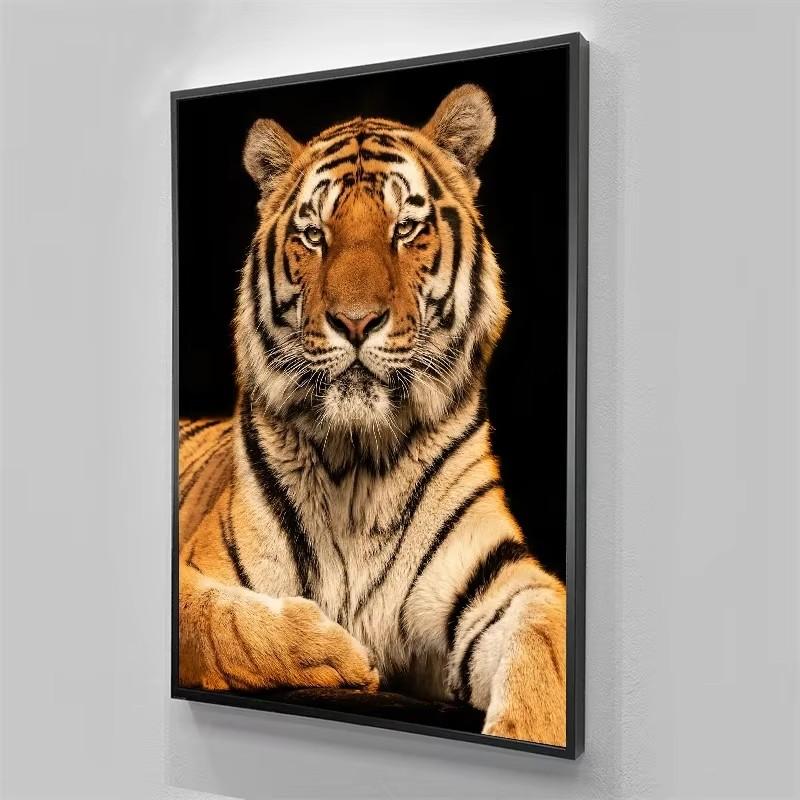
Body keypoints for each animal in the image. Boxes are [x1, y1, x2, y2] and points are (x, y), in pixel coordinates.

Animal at [178, 84, 567, 746]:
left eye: (405, 228)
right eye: (314, 235)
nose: (356, 321)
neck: (356, 465)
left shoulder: (510, 583)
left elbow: (545, 651)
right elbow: (215, 622)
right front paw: (339, 656)